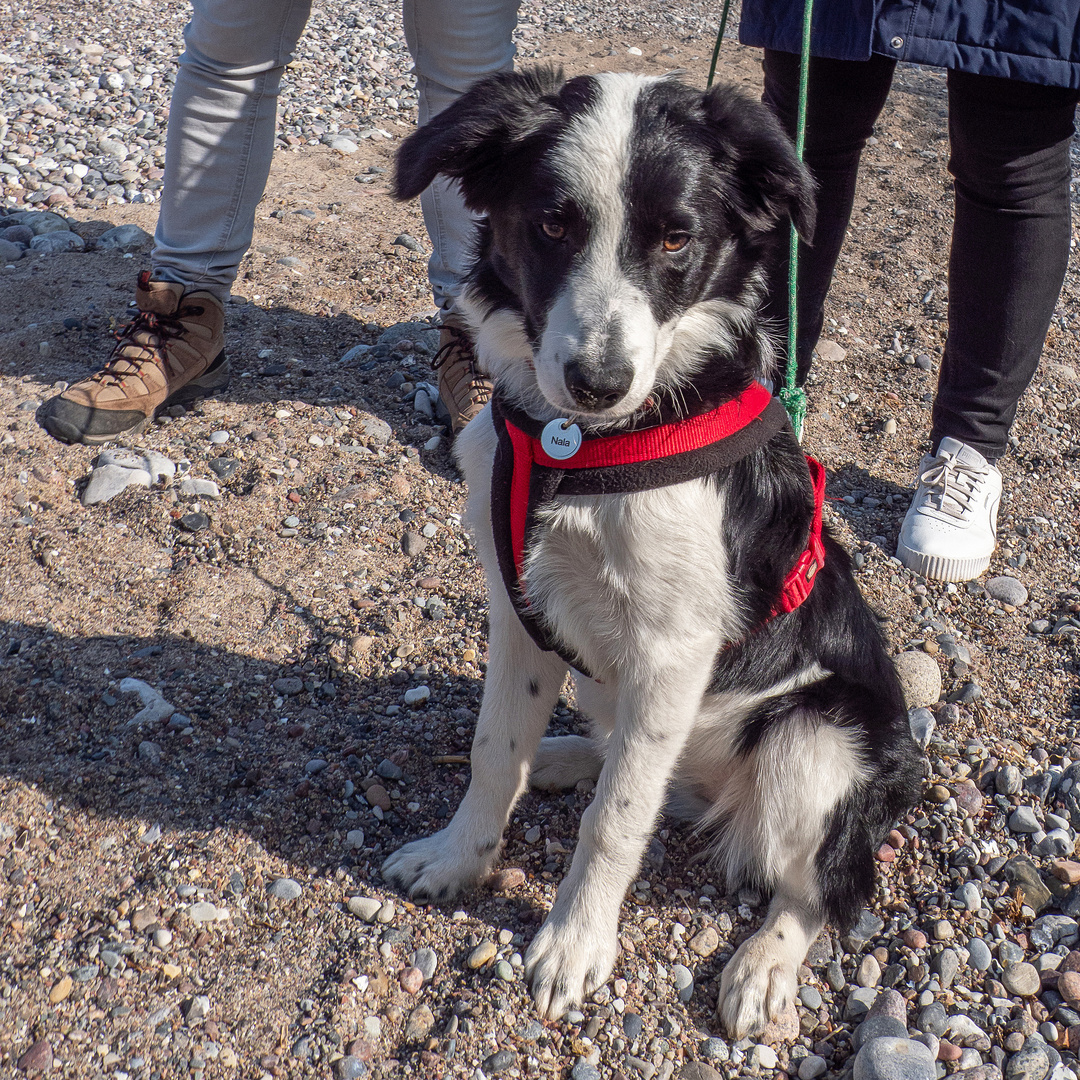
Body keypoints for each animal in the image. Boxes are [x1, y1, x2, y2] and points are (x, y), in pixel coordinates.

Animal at [382, 67, 920, 1036]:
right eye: (552, 224)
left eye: (677, 238)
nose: (598, 382)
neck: (583, 447)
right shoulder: (517, 609)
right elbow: (494, 748)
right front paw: (457, 856)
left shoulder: (675, 650)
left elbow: (617, 819)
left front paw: (574, 943)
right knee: (643, 763)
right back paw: (568, 757)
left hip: (814, 739)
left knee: (817, 884)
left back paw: (763, 964)